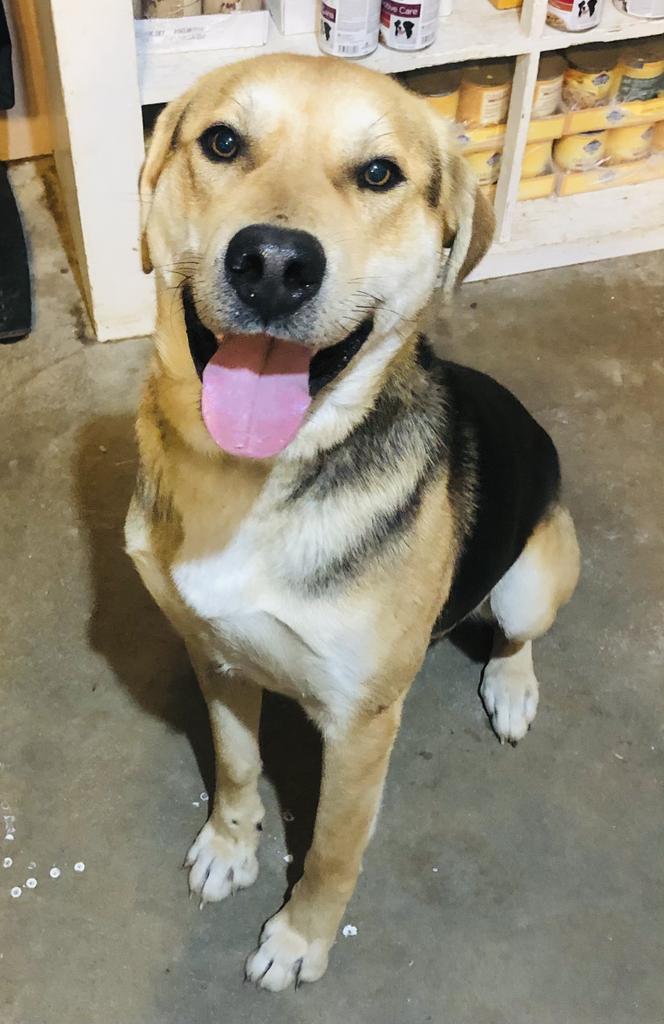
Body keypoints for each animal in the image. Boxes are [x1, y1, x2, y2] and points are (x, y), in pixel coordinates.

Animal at [126, 56, 582, 991]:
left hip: (532, 574)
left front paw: (301, 939)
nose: (272, 263)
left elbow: (335, 848)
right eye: (221, 142)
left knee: (518, 631)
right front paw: (231, 846)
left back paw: (511, 686)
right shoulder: (214, 653)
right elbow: (235, 765)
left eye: (379, 174)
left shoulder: (361, 724)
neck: (252, 481)